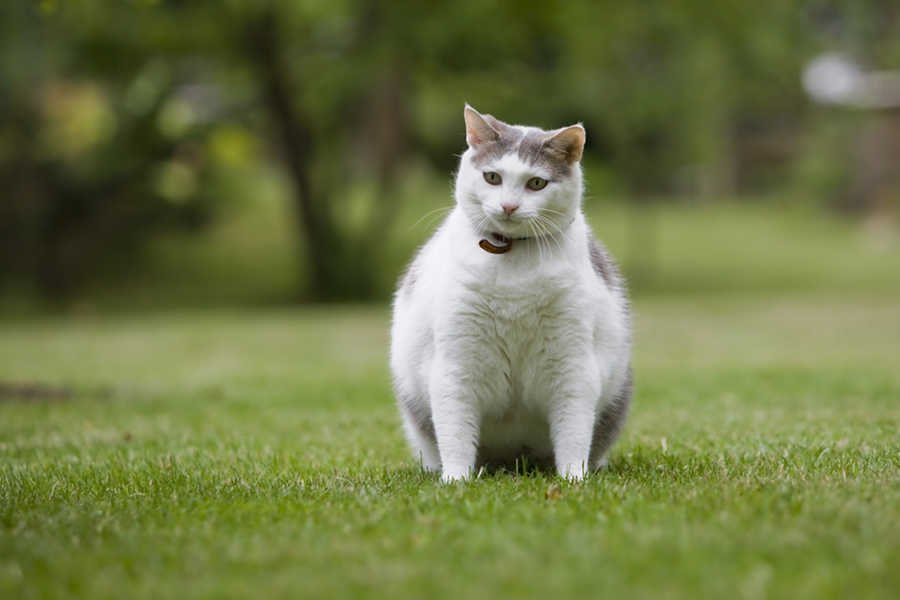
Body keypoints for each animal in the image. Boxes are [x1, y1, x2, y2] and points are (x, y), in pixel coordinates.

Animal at [388, 104, 632, 482]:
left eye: (536, 183)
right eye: (492, 177)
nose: (508, 206)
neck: (511, 257)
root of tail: (515, 460)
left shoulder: (571, 362)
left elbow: (574, 431)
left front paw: (573, 479)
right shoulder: (457, 363)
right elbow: (455, 433)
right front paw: (455, 481)